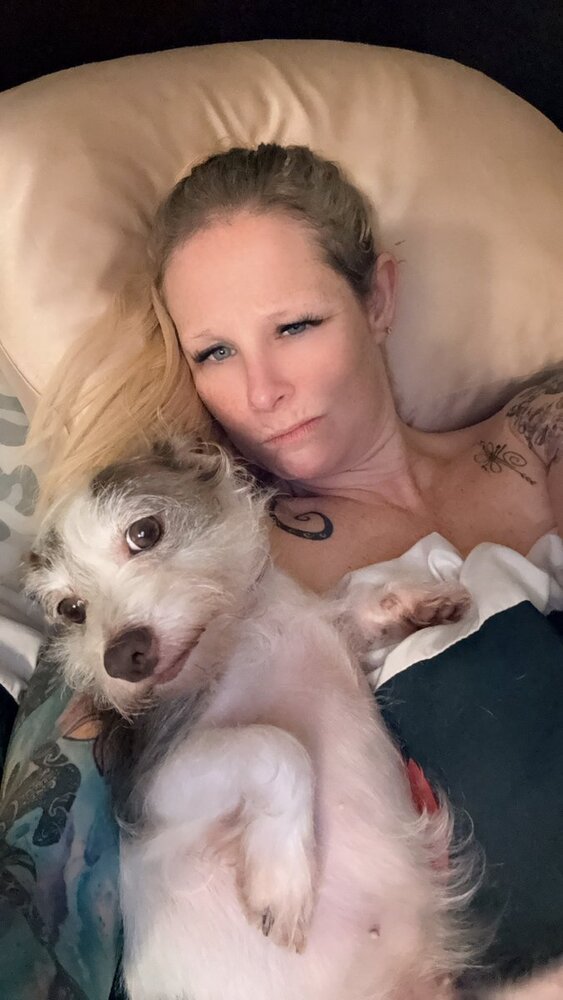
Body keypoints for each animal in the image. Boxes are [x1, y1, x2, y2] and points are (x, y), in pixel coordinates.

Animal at [26, 438, 482, 1000]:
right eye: (72, 609)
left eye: (144, 532)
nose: (122, 657)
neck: (238, 631)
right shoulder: (153, 788)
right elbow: (276, 745)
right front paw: (282, 879)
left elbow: (358, 601)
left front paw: (423, 601)